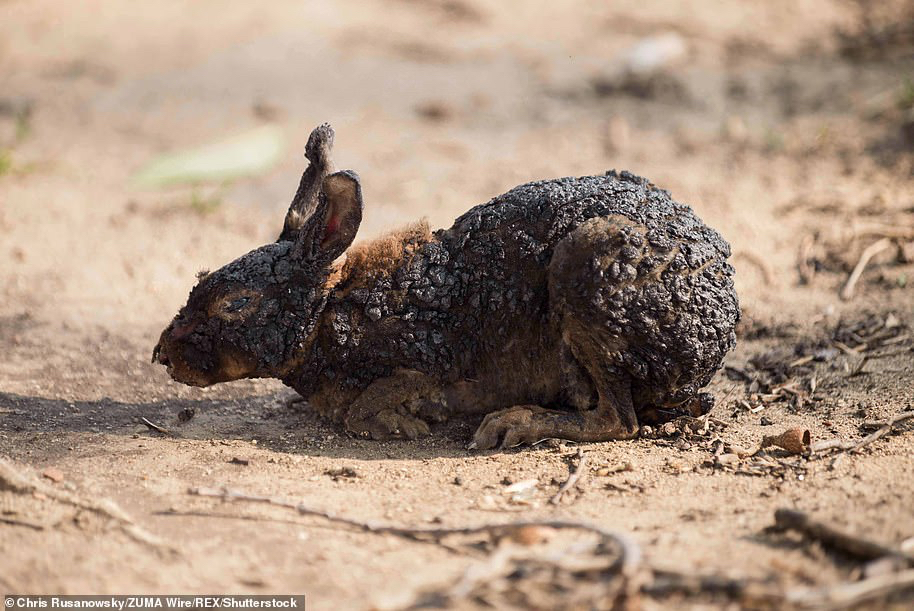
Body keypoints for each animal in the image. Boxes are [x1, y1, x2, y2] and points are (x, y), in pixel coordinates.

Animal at [153, 124, 736, 450]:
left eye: (235, 304)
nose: (162, 354)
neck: (328, 312)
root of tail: (721, 324)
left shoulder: (425, 360)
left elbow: (371, 404)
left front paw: (399, 425)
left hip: (588, 265)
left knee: (620, 420)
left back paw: (514, 424)